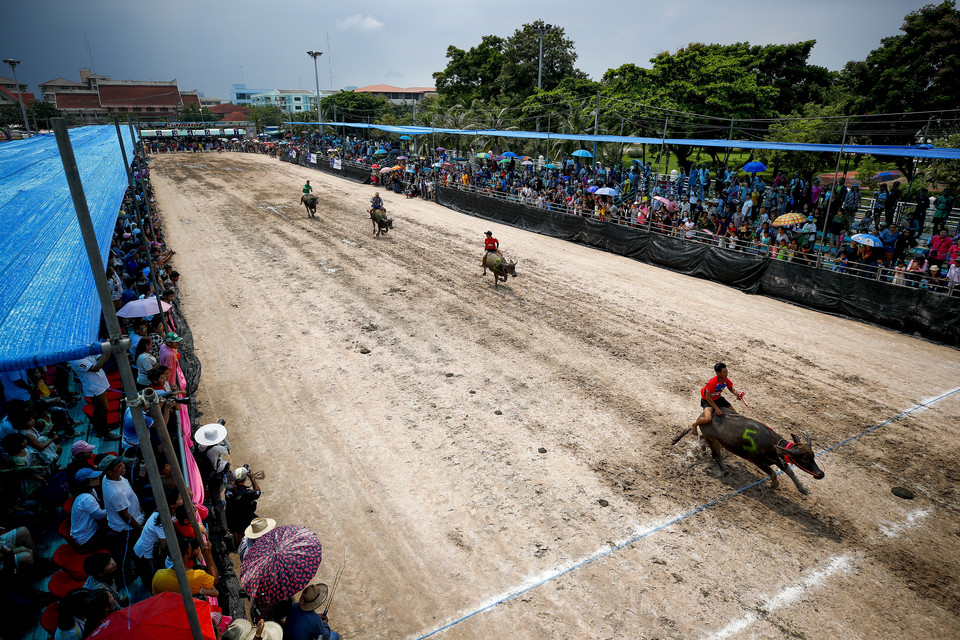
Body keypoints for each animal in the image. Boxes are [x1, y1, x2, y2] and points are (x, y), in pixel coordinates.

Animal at [676, 404, 824, 496]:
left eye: (813, 456)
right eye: (804, 459)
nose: (820, 473)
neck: (771, 444)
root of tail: (703, 415)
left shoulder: (778, 460)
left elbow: (791, 473)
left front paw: (802, 489)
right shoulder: (758, 462)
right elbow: (773, 473)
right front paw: (774, 485)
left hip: (713, 439)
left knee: (702, 439)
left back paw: (702, 450)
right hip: (713, 440)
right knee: (716, 455)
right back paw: (725, 470)